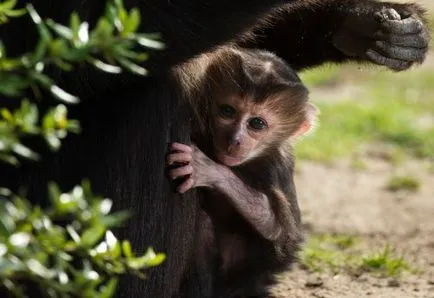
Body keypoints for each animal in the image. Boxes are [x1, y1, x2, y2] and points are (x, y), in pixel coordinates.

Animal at [168, 47, 318, 296]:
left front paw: (210, 171)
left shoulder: (276, 168)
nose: (235, 140)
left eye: (257, 123)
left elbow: (277, 230)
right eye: (228, 111)